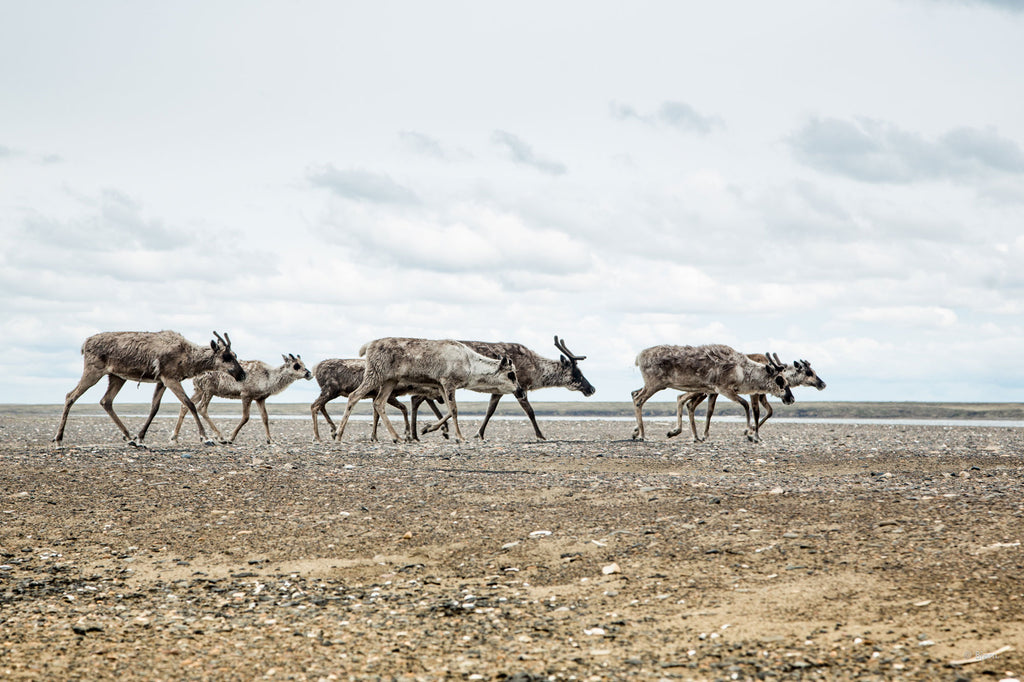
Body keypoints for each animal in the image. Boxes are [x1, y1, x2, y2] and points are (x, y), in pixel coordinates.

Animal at [55, 329, 246, 446]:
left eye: (235, 354)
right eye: (226, 356)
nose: (242, 375)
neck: (187, 355)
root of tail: (85, 343)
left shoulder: (161, 381)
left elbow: (154, 408)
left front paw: (140, 437)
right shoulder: (170, 378)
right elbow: (189, 404)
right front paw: (205, 438)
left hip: (117, 376)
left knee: (106, 401)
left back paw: (129, 437)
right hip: (93, 371)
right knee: (70, 396)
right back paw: (58, 439)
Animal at [169, 352, 311, 444]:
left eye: (303, 363)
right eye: (296, 365)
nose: (309, 373)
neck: (268, 376)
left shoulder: (260, 399)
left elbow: (265, 418)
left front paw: (270, 439)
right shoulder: (246, 395)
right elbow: (245, 417)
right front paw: (231, 437)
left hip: (199, 390)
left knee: (185, 405)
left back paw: (174, 436)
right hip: (209, 390)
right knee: (202, 408)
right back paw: (220, 437)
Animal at [335, 337, 524, 444]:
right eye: (511, 374)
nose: (521, 391)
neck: (470, 364)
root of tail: (368, 345)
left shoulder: (440, 385)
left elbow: (448, 411)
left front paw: (428, 428)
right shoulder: (448, 382)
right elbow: (454, 410)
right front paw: (460, 437)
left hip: (390, 380)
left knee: (379, 402)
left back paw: (397, 437)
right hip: (375, 374)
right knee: (354, 396)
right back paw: (338, 434)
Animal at [626, 342, 794, 444]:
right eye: (780, 380)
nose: (791, 398)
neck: (743, 372)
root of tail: (638, 357)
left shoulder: (712, 390)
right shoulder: (724, 389)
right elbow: (745, 404)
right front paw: (748, 432)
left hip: (655, 385)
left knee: (635, 395)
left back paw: (639, 433)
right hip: (654, 384)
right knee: (639, 400)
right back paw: (642, 435)